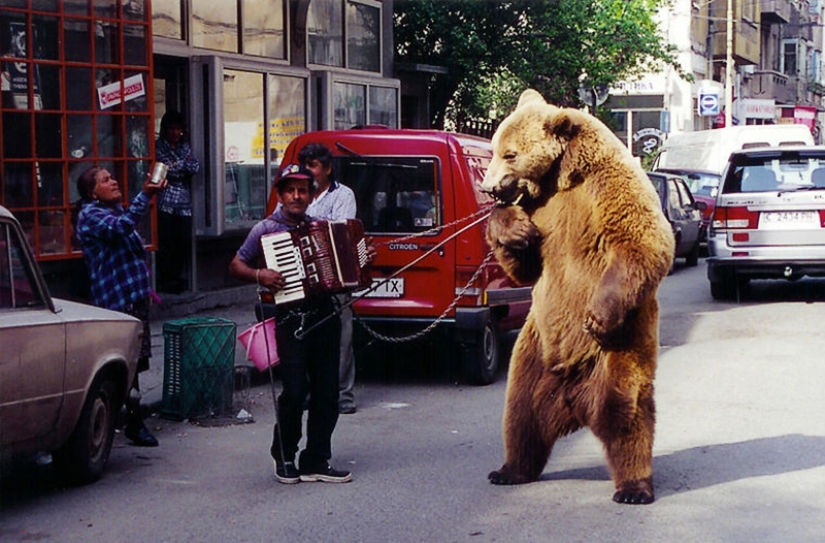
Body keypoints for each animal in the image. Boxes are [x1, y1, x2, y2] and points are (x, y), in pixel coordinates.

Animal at [480, 90, 672, 506]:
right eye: (494, 148)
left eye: (510, 154)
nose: (489, 188)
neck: (560, 177)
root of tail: (573, 401)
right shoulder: (542, 211)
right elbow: (526, 268)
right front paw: (514, 228)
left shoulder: (606, 186)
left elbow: (643, 241)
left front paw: (596, 316)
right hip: (533, 351)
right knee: (520, 415)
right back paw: (509, 470)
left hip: (623, 345)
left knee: (627, 414)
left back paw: (634, 488)